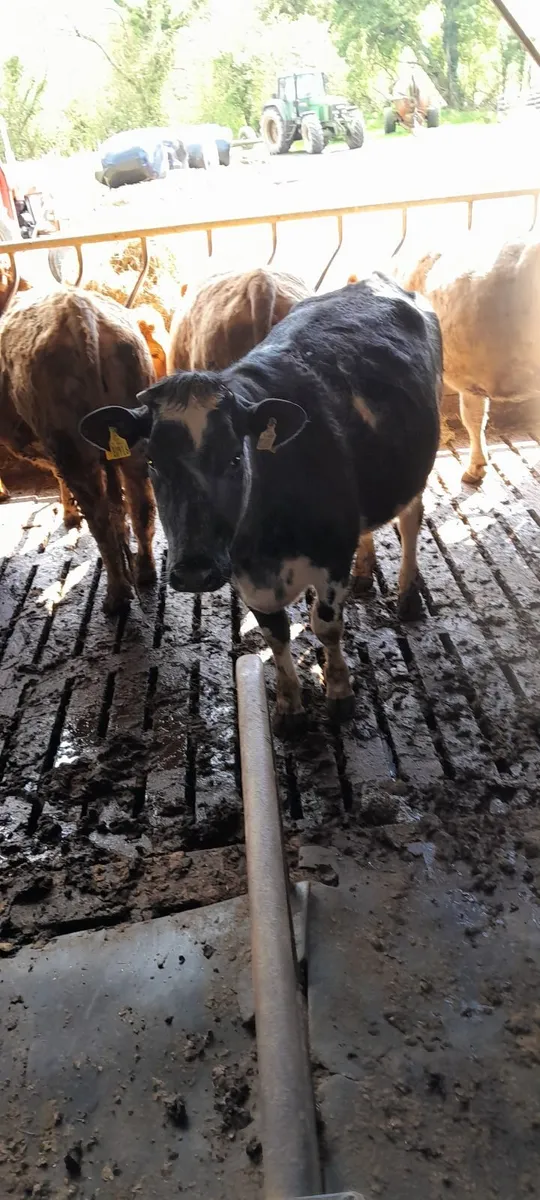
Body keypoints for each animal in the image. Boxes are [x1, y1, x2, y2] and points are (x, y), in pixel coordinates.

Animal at [0, 288, 156, 613]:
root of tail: (79, 312)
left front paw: (70, 515)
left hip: (71, 448)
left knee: (100, 519)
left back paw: (116, 596)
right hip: (133, 438)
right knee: (142, 506)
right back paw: (144, 571)